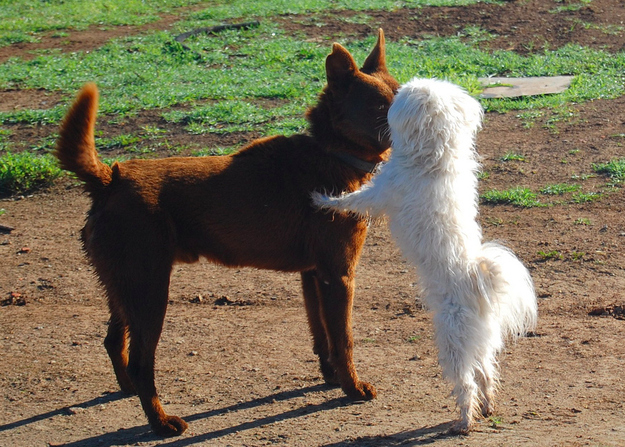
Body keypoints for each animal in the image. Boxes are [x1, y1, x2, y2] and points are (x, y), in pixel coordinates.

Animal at [57, 30, 400, 438]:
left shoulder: (313, 275)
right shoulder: (339, 275)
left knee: (113, 341)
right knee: (141, 362)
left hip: (124, 287)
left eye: (401, 92)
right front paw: (352, 387)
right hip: (150, 290)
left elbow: (322, 335)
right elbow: (344, 338)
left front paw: (331, 377)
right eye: (381, 105)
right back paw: (161, 422)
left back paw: (127, 390)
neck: (334, 153)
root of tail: (110, 179)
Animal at [314, 77, 540, 434]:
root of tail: (480, 286)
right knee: (487, 373)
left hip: (452, 343)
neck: (435, 154)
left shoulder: (381, 192)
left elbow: (352, 200)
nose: (396, 91)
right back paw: (487, 407)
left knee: (466, 384)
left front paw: (323, 199)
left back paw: (464, 421)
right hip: (481, 343)